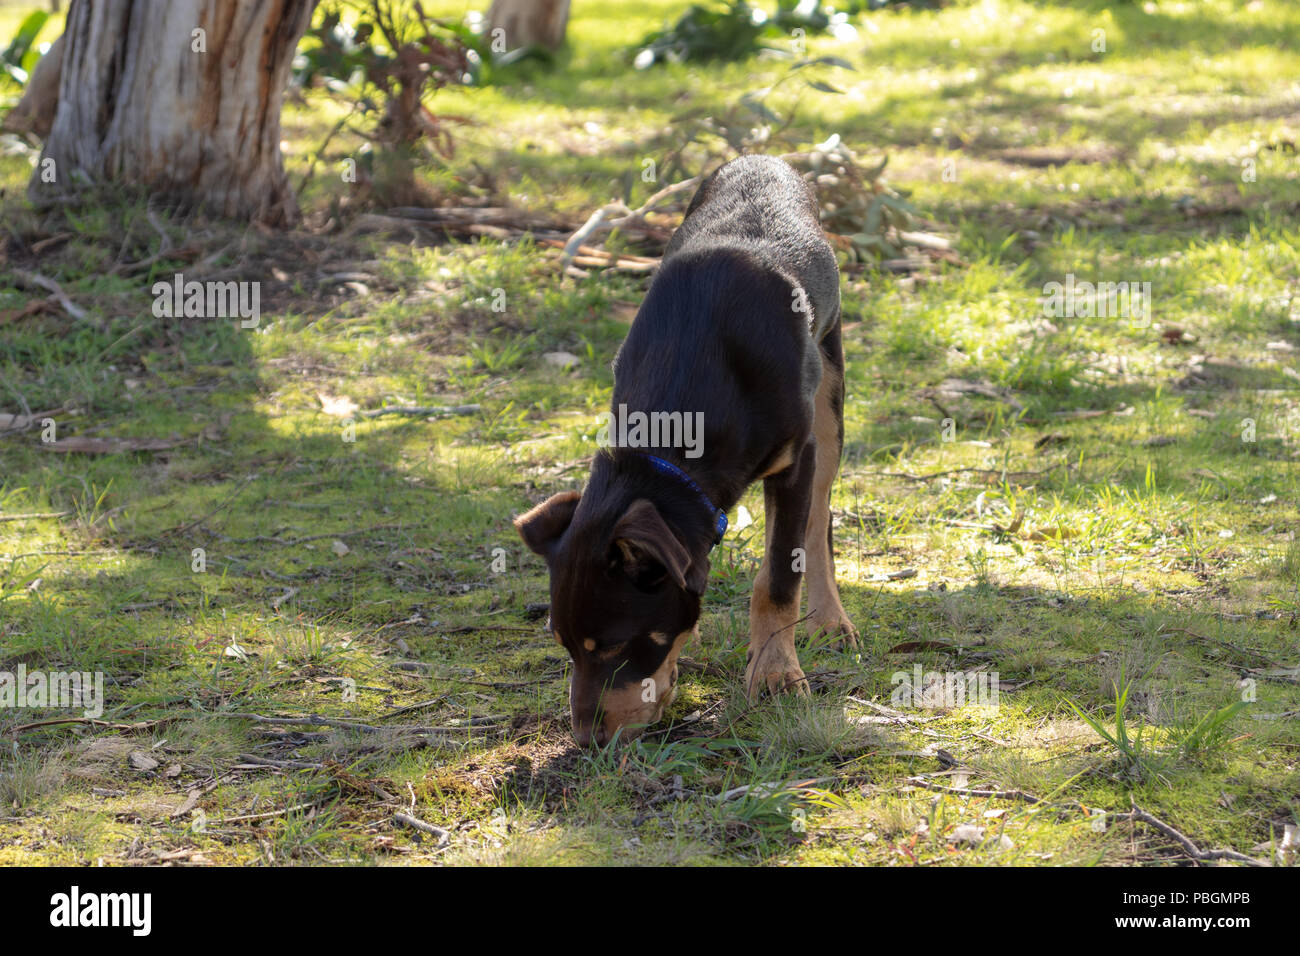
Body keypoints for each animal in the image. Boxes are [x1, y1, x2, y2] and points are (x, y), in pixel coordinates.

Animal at [512, 155, 857, 749]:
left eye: (614, 646)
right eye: (564, 645)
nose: (586, 742)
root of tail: (764, 158)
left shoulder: (795, 461)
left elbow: (778, 578)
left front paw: (775, 674)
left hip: (829, 400)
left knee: (819, 521)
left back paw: (828, 618)